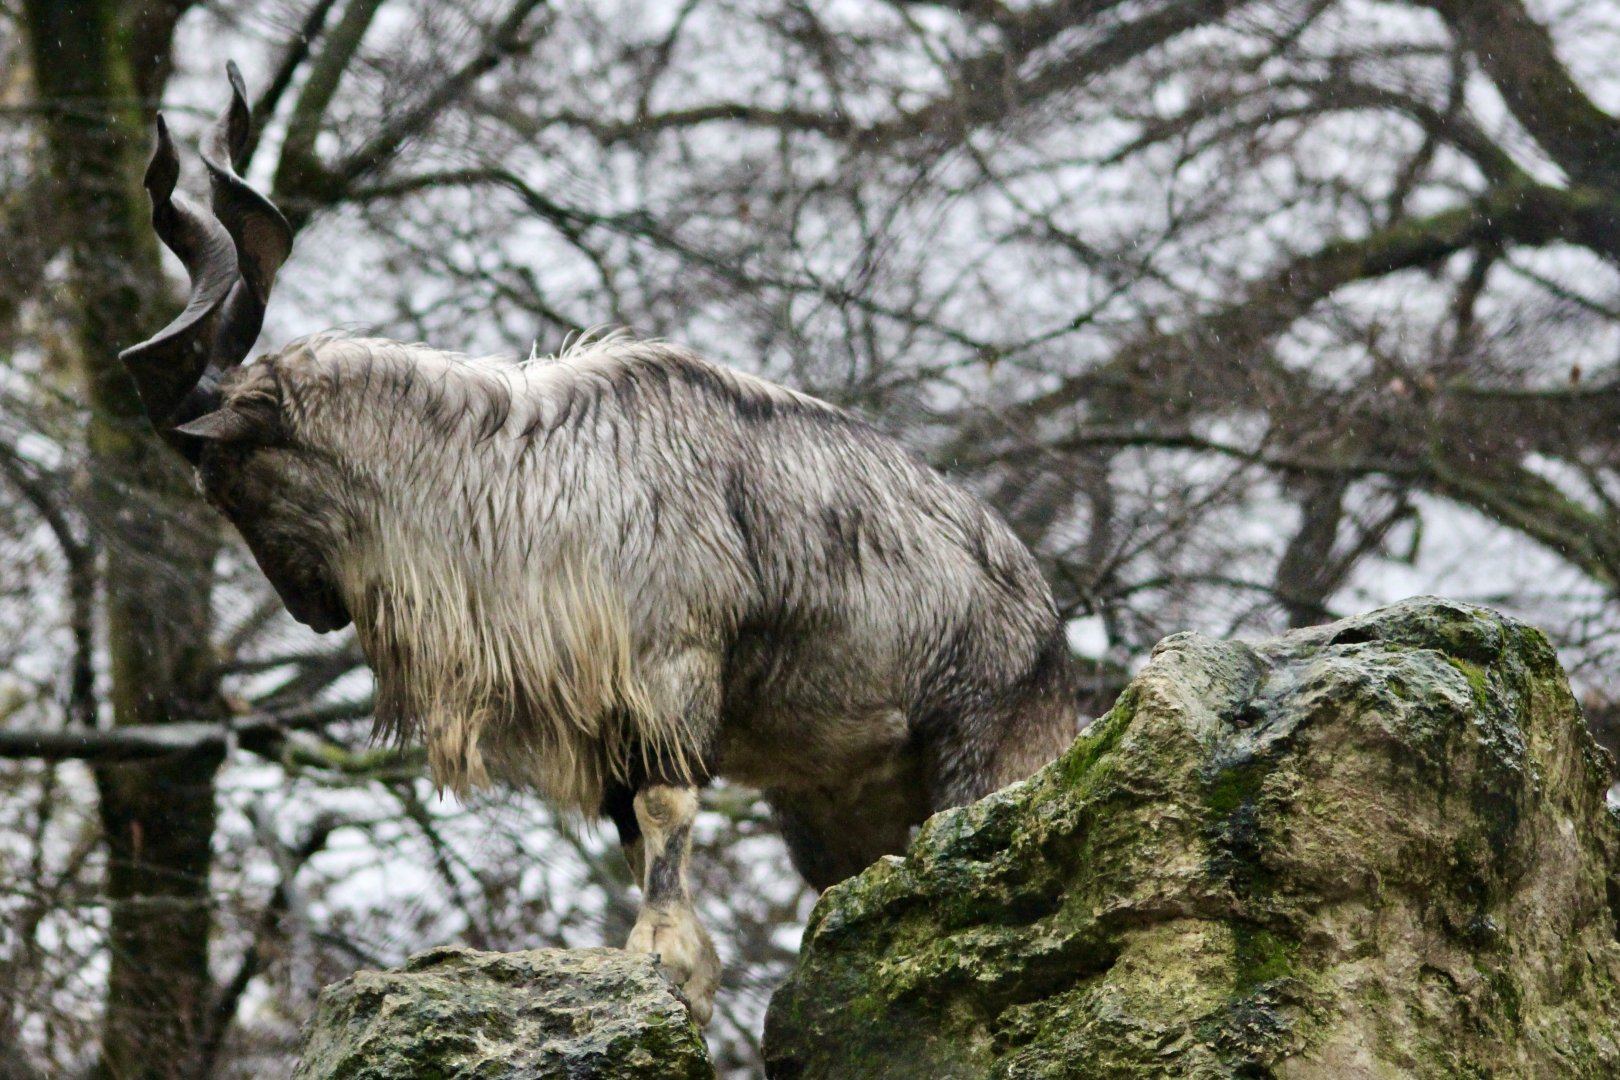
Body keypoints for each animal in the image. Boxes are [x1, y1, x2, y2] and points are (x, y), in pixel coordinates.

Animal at [118, 67, 1077, 1025]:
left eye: (225, 478)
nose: (309, 612)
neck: (515, 481)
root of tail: (1048, 622)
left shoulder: (671, 673)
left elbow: (664, 808)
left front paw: (660, 955)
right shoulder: (609, 720)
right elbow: (629, 830)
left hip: (985, 748)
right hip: (831, 810)